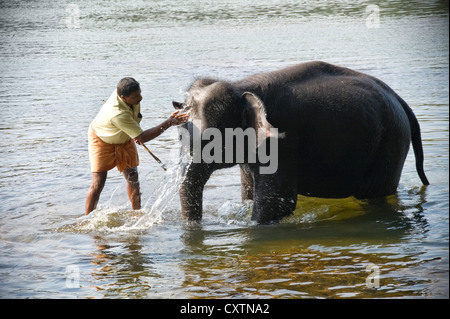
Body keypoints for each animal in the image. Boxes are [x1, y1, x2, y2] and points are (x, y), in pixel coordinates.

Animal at [172, 60, 428, 225]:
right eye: (179, 137)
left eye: (210, 141)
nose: (195, 228)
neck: (241, 86)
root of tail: (399, 99)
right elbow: (249, 193)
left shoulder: (283, 140)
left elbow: (275, 202)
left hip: (391, 143)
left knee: (376, 197)